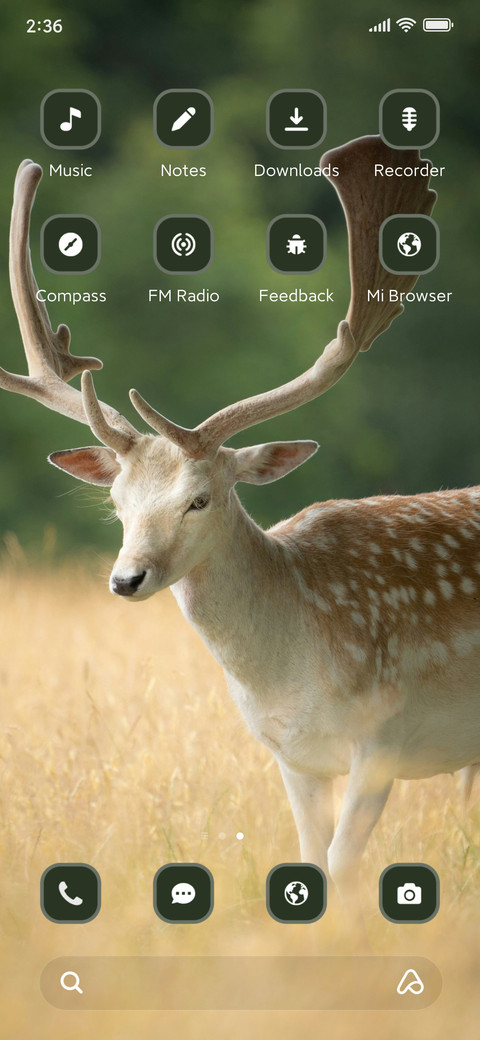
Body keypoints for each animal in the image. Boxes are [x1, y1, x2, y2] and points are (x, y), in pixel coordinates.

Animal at [3, 136, 480, 910]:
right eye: (118, 503)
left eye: (200, 498)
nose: (126, 578)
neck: (291, 672)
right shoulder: (293, 757)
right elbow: (313, 863)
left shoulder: (385, 735)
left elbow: (344, 872)